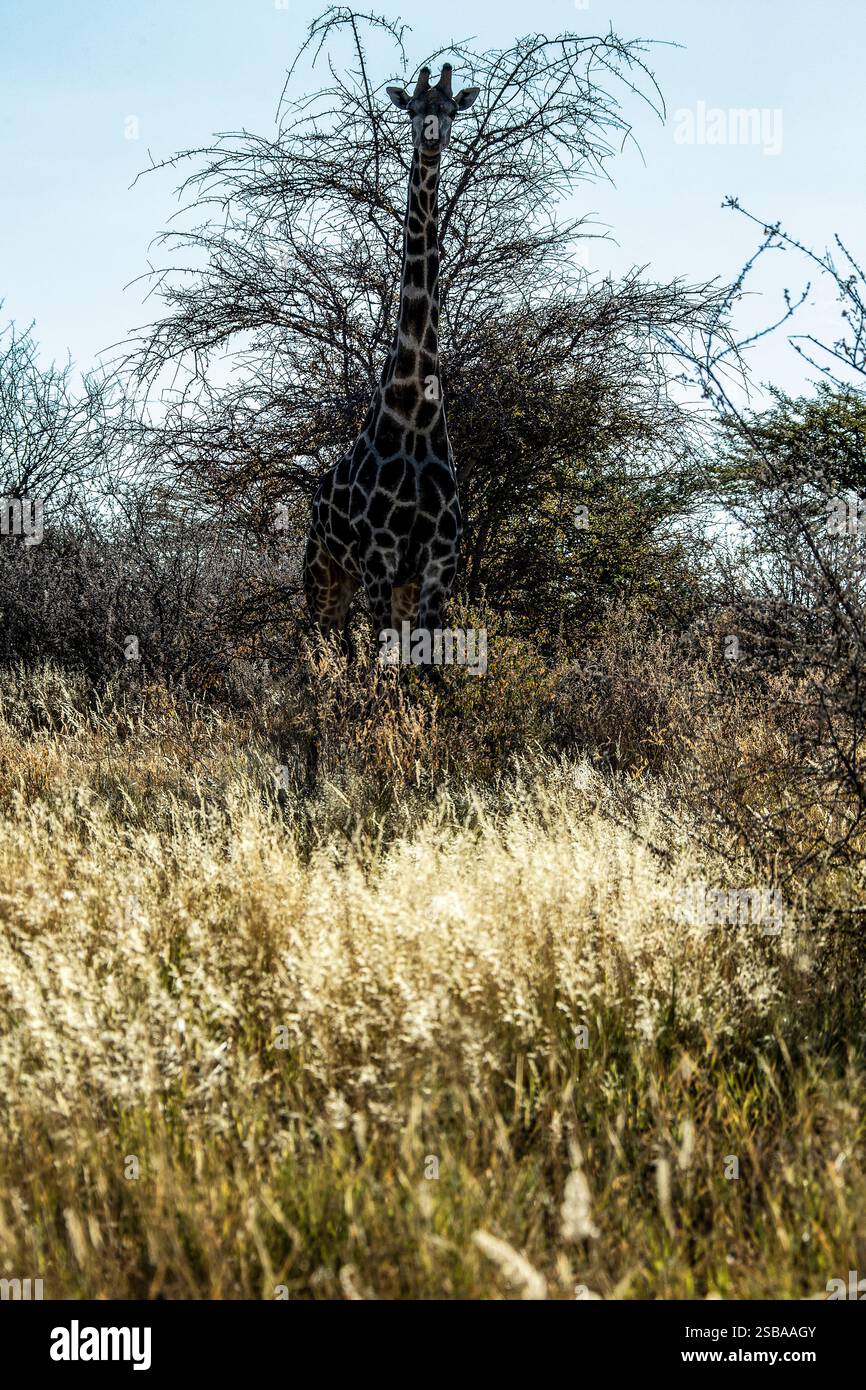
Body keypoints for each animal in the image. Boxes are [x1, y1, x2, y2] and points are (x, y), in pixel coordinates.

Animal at [304, 63, 480, 661]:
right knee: (319, 657)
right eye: (413, 109)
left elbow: (425, 669)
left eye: (449, 109)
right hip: (324, 577)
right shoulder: (379, 556)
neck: (416, 413)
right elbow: (388, 671)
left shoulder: (438, 562)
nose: (431, 139)